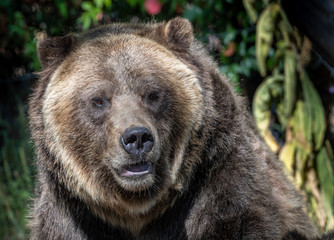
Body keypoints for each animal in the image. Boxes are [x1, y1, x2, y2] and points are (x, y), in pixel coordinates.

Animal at [28, 17, 318, 239]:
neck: (136, 212)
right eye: (99, 100)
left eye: (152, 94)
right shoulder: (74, 215)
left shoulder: (217, 177)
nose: (137, 138)